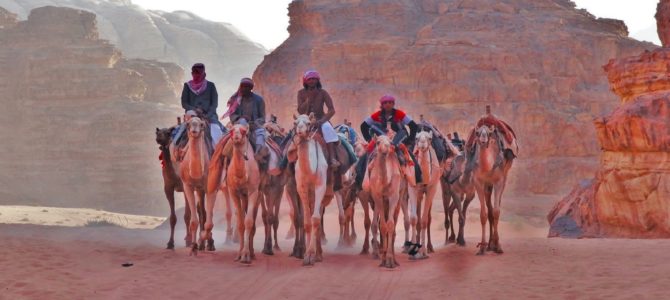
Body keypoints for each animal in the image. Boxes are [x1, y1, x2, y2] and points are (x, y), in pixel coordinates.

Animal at [169, 116, 211, 254]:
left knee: (203, 213)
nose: (194, 131)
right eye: (188, 125)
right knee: (201, 213)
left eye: (201, 125)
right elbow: (193, 220)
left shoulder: (208, 185)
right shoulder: (187, 185)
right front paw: (193, 247)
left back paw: (207, 244)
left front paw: (203, 244)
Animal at [294, 112, 336, 264]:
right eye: (295, 123)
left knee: (318, 215)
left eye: (308, 123)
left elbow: (315, 219)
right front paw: (307, 254)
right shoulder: (302, 188)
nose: (300, 131)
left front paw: (311, 254)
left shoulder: (320, 187)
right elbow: (307, 221)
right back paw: (318, 253)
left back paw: (318, 254)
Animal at [364, 135, 406, 268]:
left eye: (390, 142)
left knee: (395, 221)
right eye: (378, 142)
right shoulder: (378, 197)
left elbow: (391, 224)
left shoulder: (393, 197)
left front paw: (390, 260)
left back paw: (395, 258)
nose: (386, 149)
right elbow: (382, 225)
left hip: (400, 196)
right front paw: (384, 260)